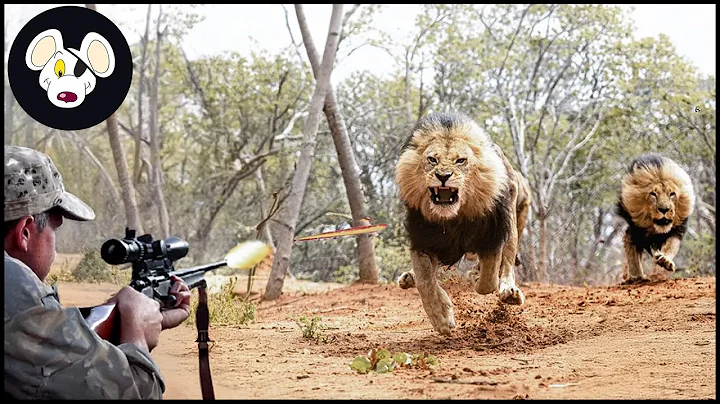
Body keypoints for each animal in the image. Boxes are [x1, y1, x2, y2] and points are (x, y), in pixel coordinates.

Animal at [394, 112, 531, 335]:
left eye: (461, 161)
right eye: (432, 159)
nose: (443, 176)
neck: (453, 218)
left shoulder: (493, 235)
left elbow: (488, 280)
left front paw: (476, 276)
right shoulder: (423, 239)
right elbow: (425, 281)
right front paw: (441, 316)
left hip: (512, 221)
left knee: (507, 264)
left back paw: (508, 291)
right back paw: (409, 277)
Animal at [615, 153, 695, 284]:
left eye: (672, 194)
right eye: (653, 194)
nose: (664, 209)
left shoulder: (676, 230)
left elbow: (670, 247)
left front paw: (663, 264)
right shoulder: (634, 231)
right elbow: (633, 257)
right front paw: (636, 277)